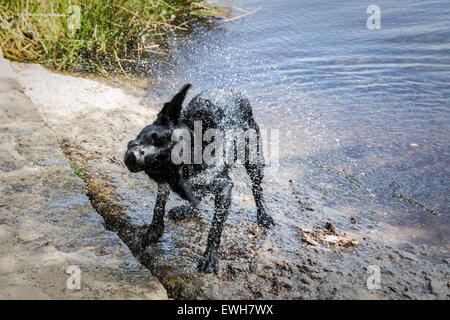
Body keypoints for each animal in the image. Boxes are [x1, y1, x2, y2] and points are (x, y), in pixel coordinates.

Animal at [123, 84, 274, 274]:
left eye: (160, 159)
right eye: (153, 137)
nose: (133, 157)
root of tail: (235, 92)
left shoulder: (224, 186)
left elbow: (215, 228)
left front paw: (209, 256)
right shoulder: (168, 182)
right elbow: (159, 206)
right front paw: (155, 229)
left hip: (253, 157)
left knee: (257, 188)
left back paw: (264, 214)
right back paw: (185, 209)